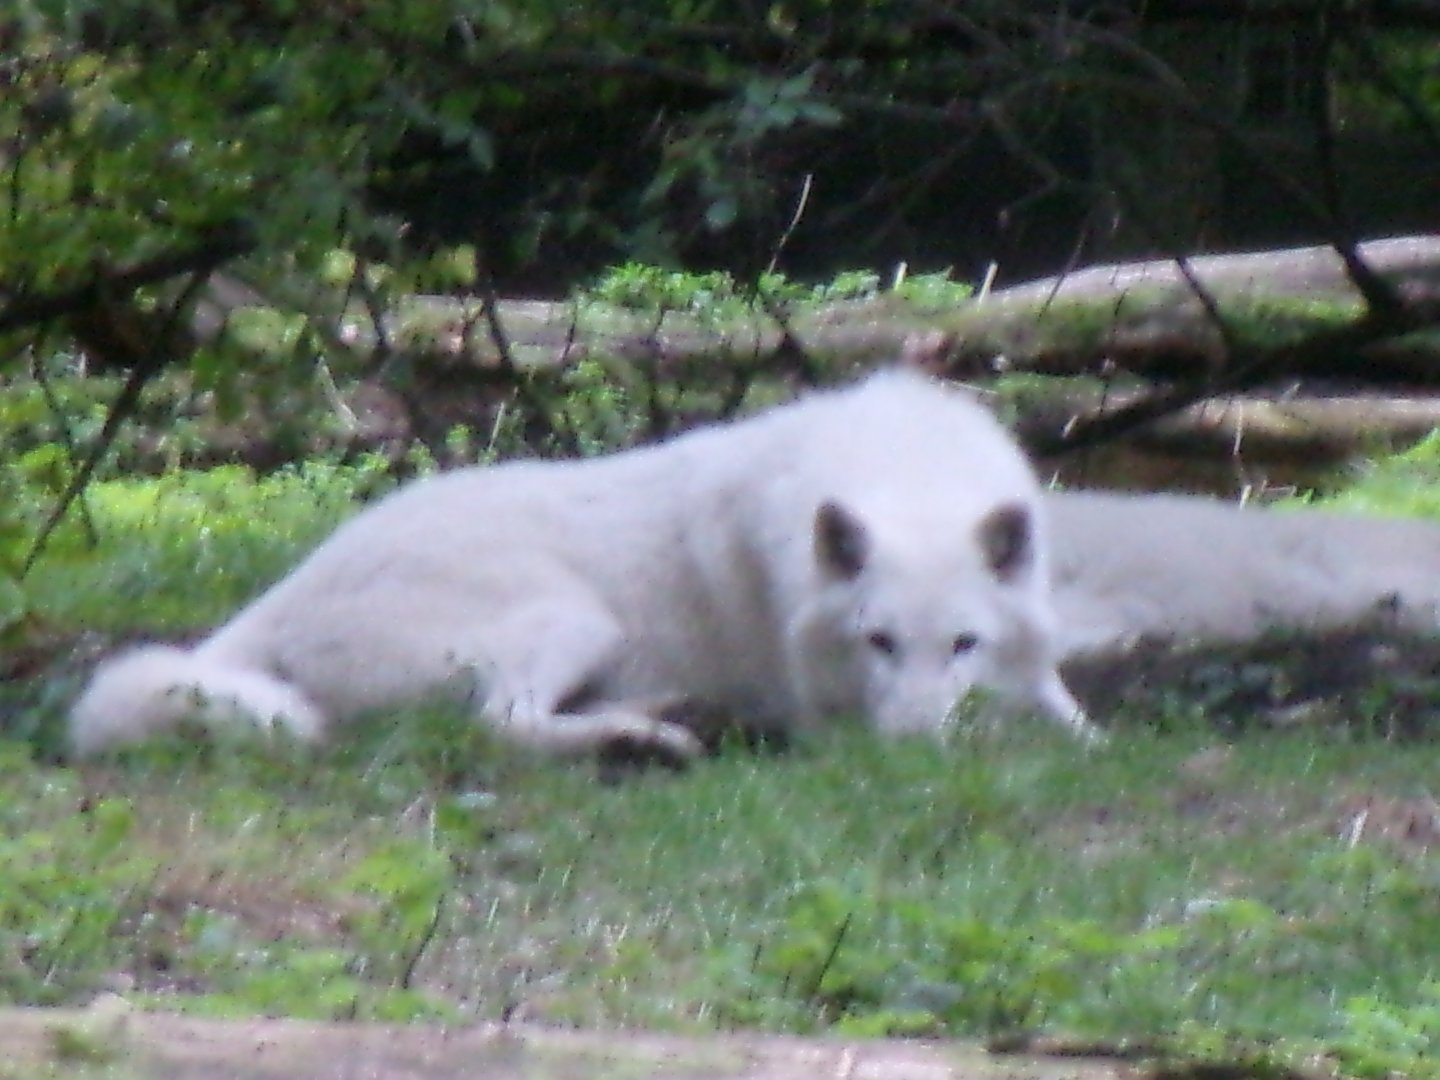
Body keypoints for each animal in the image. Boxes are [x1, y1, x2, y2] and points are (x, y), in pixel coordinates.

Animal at [69, 370, 1096, 759]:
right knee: (502, 727)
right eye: (876, 642)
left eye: (962, 645)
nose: (916, 752)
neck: (906, 473)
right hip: (573, 619)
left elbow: (1068, 717)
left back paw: (667, 714)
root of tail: (282, 596)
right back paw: (643, 739)